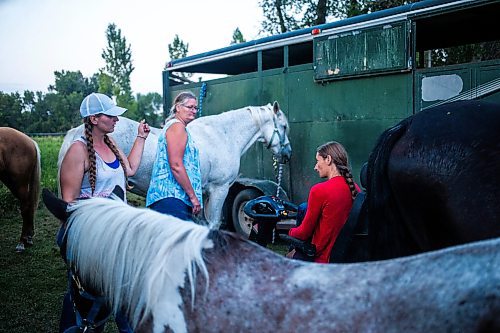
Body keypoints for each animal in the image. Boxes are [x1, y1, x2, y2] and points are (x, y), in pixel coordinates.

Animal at [59, 102, 292, 228]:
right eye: (283, 126)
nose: (287, 154)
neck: (223, 135)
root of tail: (76, 133)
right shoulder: (220, 189)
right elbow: (214, 224)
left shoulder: (204, 193)